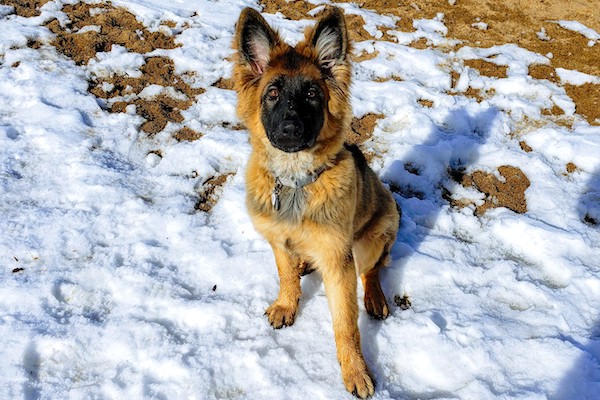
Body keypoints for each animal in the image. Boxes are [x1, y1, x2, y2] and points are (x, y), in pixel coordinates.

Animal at [232, 6, 400, 396]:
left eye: (311, 94)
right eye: (272, 93)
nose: (290, 130)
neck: (295, 183)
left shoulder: (340, 262)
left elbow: (346, 325)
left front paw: (355, 371)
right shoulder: (278, 239)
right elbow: (285, 276)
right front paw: (286, 304)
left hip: (372, 238)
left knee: (373, 270)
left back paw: (375, 297)